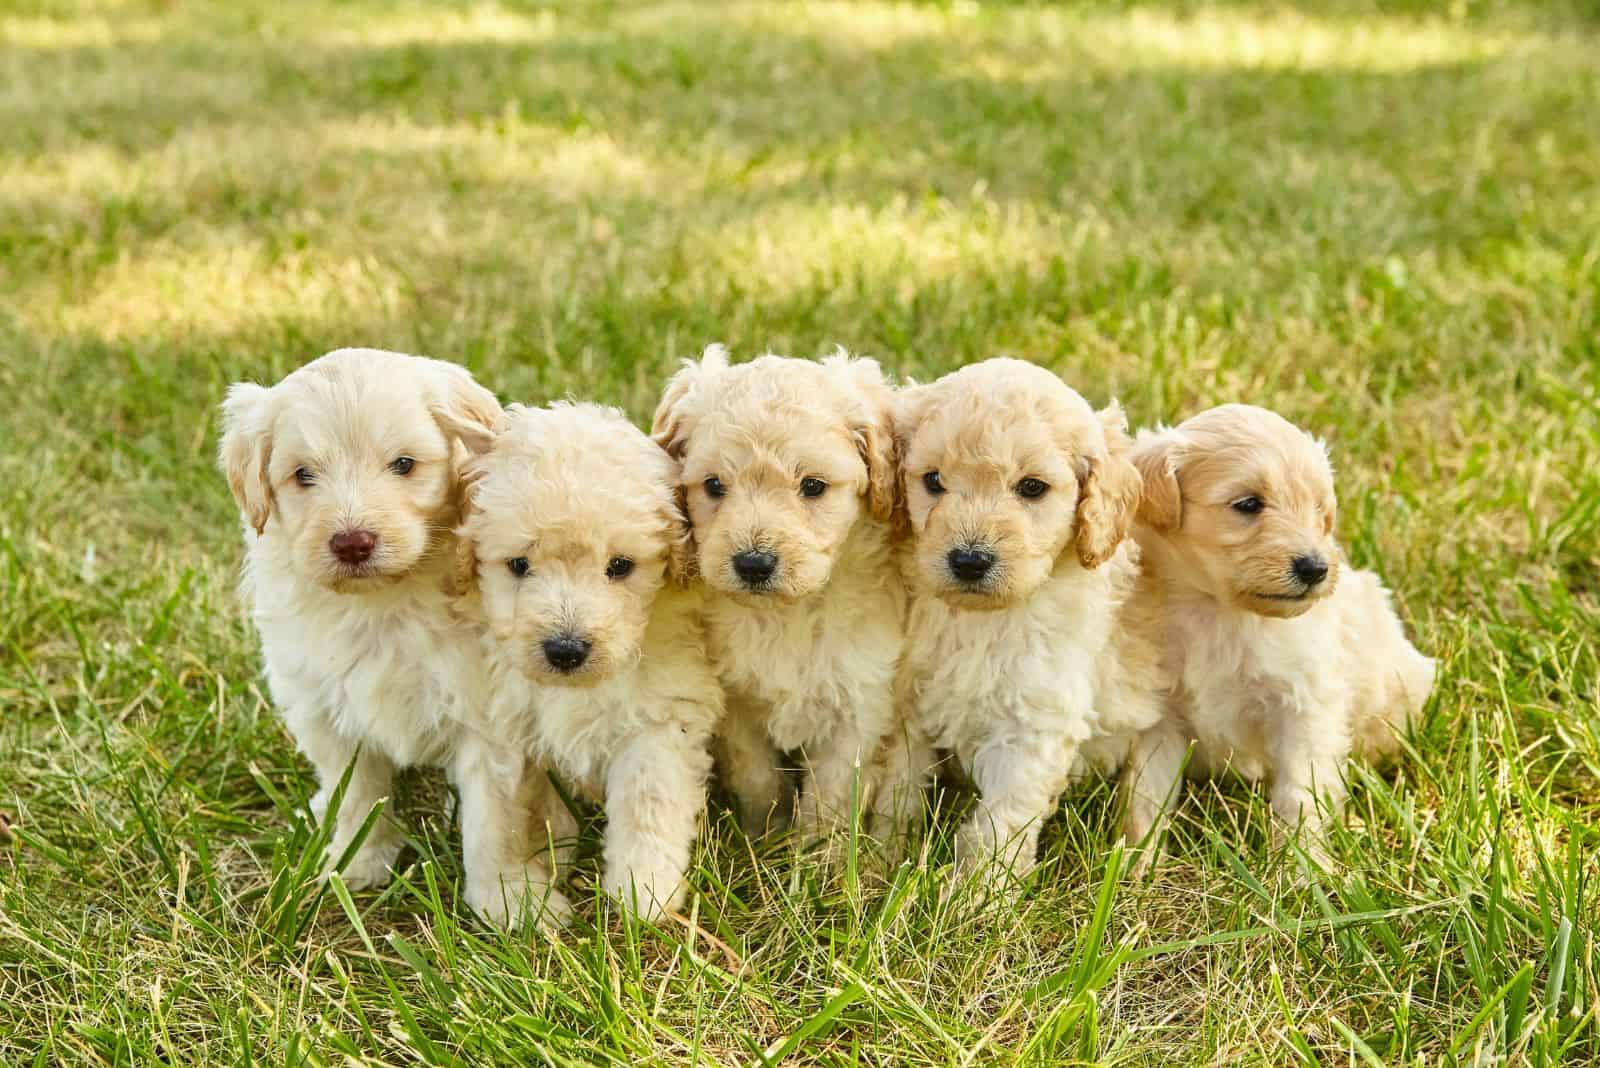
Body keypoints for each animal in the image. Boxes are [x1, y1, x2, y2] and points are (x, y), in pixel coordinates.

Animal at [216, 350, 496, 895]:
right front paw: (358, 863)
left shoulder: (485, 714)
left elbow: (494, 824)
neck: (381, 604)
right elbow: (357, 795)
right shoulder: (323, 710)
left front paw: (513, 900)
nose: (352, 543)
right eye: (303, 475)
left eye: (404, 465)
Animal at [451, 399, 726, 920]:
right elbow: (495, 816)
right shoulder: (495, 718)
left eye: (619, 566)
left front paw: (644, 892)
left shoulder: (660, 718)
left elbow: (648, 803)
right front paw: (511, 898)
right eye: (519, 565)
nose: (565, 650)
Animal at [646, 346, 902, 837]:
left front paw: (821, 852)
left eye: (813, 486)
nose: (753, 564)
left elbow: (832, 798)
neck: (788, 613)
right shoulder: (736, 704)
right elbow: (756, 777)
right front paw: (765, 836)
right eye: (714, 485)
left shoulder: (858, 706)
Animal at [883, 358, 1171, 876]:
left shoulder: (1033, 725)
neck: (983, 619)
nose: (969, 561)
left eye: (1032, 488)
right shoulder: (910, 705)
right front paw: (878, 861)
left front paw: (978, 891)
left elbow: (999, 825)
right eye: (933, 481)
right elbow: (895, 793)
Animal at [1113, 404, 1440, 863]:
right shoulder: (1161, 717)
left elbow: (1299, 797)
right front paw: (1135, 867)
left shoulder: (1304, 709)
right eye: (1248, 504)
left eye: (1319, 511)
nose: (1316, 568)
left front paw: (1304, 870)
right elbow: (1146, 797)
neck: (1221, 612)